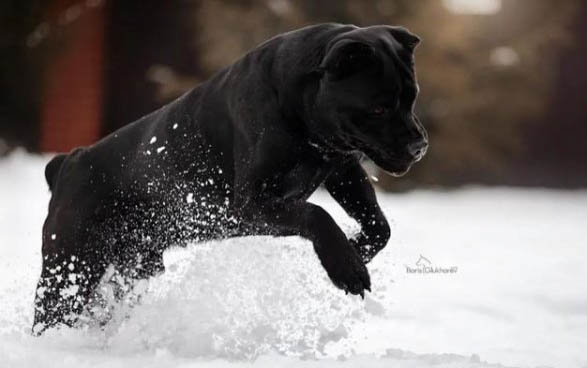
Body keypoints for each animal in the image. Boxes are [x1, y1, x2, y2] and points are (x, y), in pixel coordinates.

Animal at [32, 23, 428, 334]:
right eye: (378, 107)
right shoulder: (253, 202)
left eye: (412, 98)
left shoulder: (343, 170)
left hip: (130, 268)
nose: (419, 145)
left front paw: (357, 250)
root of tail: (70, 161)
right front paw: (346, 267)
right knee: (49, 314)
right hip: (72, 266)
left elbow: (379, 224)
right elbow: (317, 214)